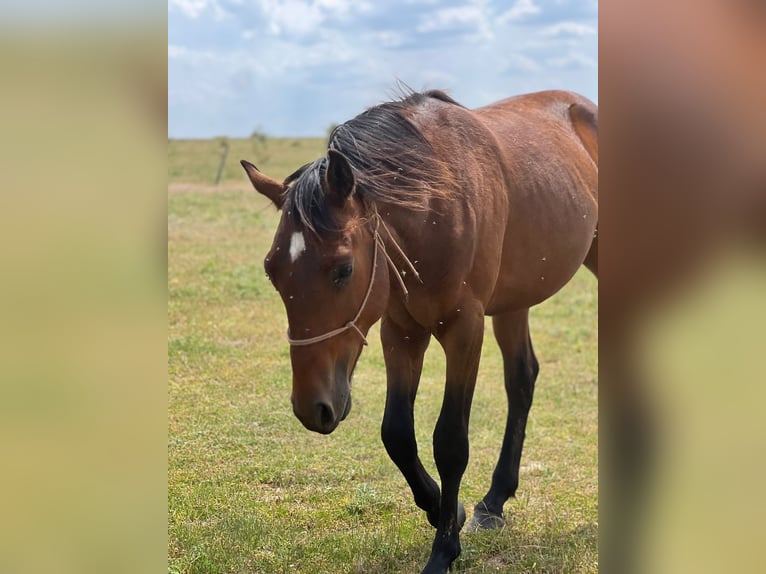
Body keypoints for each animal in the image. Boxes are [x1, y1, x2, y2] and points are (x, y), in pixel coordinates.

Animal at [243, 90, 596, 574]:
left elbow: (450, 441)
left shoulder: (464, 331)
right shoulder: (401, 332)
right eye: (271, 270)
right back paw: (493, 502)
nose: (312, 408)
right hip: (513, 301)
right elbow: (396, 434)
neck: (435, 206)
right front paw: (447, 510)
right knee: (522, 379)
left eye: (343, 269)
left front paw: (443, 549)